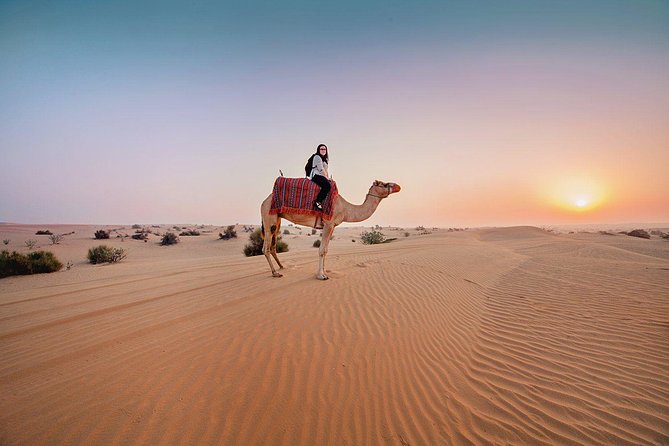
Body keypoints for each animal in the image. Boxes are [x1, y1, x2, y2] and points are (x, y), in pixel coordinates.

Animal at [260, 180, 401, 280]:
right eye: (383, 184)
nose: (398, 186)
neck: (345, 208)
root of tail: (263, 201)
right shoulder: (328, 224)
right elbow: (322, 250)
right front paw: (321, 275)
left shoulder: (332, 226)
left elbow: (326, 250)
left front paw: (324, 271)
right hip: (269, 217)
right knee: (265, 248)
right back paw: (275, 273)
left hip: (277, 219)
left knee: (273, 246)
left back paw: (282, 267)